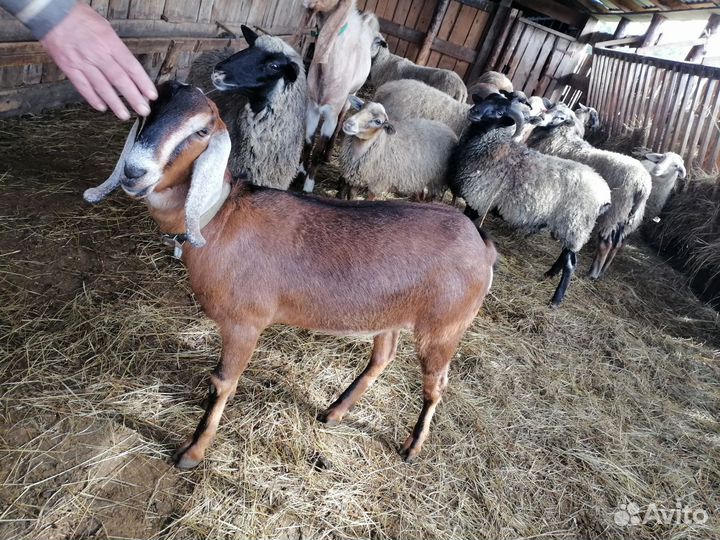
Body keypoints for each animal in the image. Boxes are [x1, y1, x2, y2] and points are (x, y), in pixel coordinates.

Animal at [83, 81, 497, 468]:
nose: (135, 171)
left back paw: (412, 446)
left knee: (436, 384)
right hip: (393, 314)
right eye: (146, 111)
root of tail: (482, 243)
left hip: (444, 328)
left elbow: (222, 383)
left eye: (201, 131)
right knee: (383, 357)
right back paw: (334, 412)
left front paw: (193, 451)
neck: (221, 218)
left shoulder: (244, 324)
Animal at [302, 0, 380, 193]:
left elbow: (318, 148)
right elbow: (308, 142)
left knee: (341, 121)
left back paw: (328, 154)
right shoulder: (312, 107)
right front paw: (301, 170)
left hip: (351, 97)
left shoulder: (331, 114)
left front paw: (308, 184)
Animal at [450, 92, 611, 306]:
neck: (492, 146)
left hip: (575, 224)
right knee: (565, 255)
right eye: (485, 100)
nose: (474, 112)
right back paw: (549, 274)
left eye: (500, 112)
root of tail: (604, 194)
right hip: (569, 226)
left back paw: (556, 299)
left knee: (571, 264)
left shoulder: (478, 200)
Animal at [527, 102, 652, 279]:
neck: (560, 136)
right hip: (626, 219)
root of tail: (642, 186)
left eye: (562, 117)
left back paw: (592, 273)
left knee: (606, 244)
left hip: (612, 213)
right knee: (617, 244)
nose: (541, 118)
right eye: (551, 108)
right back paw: (602, 272)